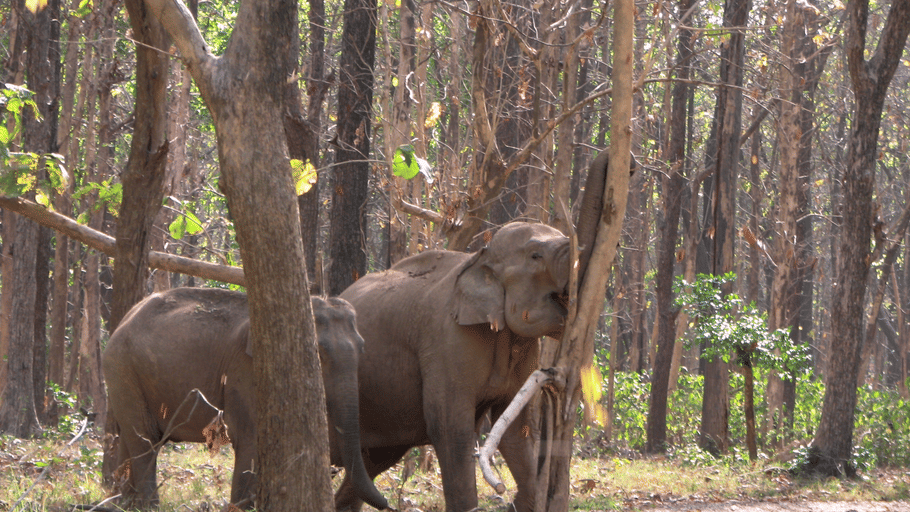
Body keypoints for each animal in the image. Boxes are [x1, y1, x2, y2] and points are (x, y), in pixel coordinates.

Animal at [102, 287, 388, 510]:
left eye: (362, 347)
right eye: (319, 353)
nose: (387, 503)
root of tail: (124, 319)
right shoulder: (244, 370)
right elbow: (250, 438)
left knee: (132, 438)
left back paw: (121, 504)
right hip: (123, 369)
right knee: (146, 440)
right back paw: (147, 506)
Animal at [336, 221, 571, 512]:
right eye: (535, 255)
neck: (479, 257)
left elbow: (516, 430)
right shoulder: (447, 342)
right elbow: (450, 428)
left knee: (374, 463)